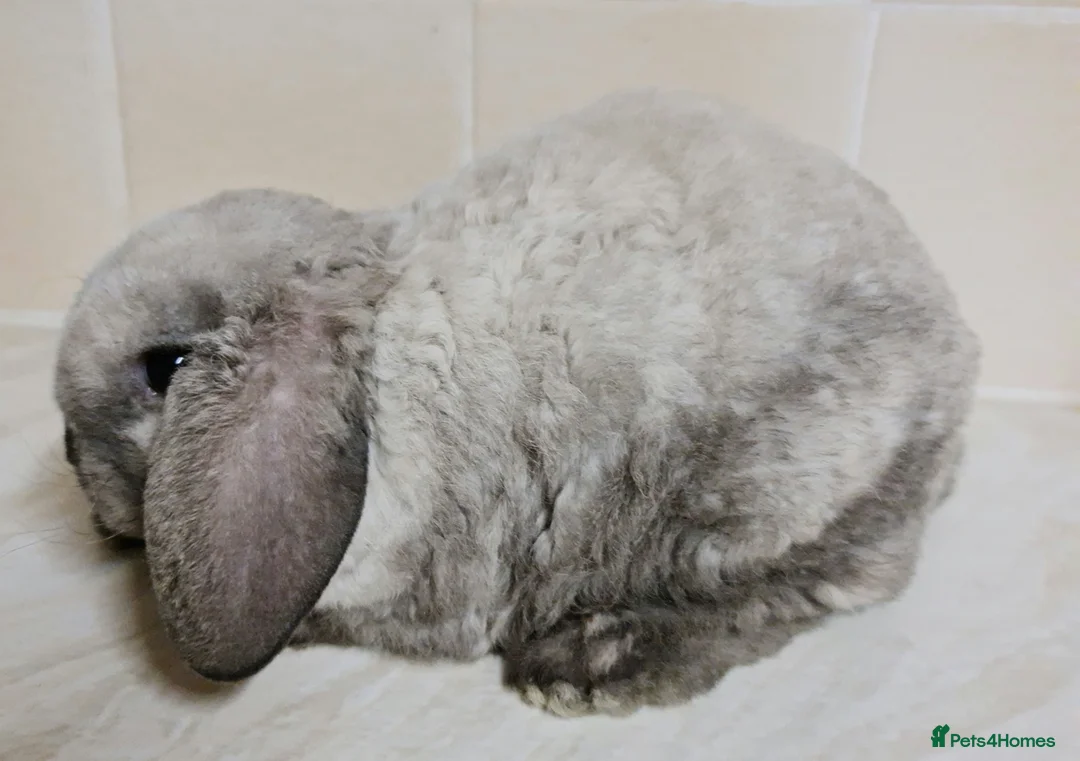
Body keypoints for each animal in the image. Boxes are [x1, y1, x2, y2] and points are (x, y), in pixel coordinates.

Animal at [54, 89, 979, 717]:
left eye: (168, 366)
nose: (65, 453)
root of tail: (958, 352)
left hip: (770, 498)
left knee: (802, 594)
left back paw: (585, 664)